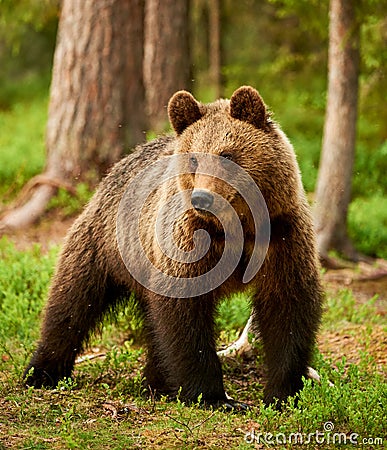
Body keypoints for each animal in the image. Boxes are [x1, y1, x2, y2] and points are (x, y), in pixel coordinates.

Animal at [24, 86, 324, 410]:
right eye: (193, 159)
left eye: (227, 154)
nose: (202, 198)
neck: (237, 228)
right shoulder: (189, 243)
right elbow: (184, 316)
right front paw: (215, 396)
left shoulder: (281, 237)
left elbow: (287, 307)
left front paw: (282, 393)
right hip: (106, 245)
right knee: (72, 302)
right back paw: (41, 372)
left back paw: (157, 382)